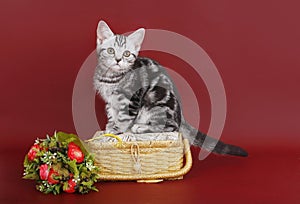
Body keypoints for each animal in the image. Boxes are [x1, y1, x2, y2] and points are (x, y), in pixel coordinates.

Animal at [92, 20, 247, 157]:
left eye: (126, 54)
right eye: (111, 51)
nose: (118, 60)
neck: (111, 78)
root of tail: (181, 116)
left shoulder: (131, 100)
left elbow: (123, 119)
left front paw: (117, 131)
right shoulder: (110, 101)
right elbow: (112, 114)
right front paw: (109, 128)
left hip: (157, 104)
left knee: (170, 126)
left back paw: (140, 127)